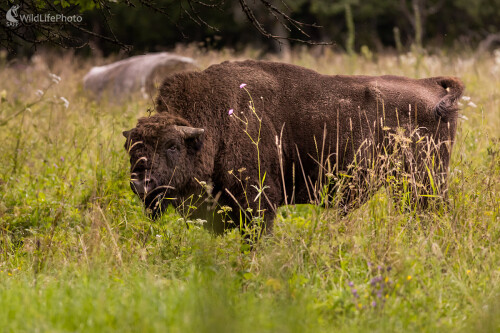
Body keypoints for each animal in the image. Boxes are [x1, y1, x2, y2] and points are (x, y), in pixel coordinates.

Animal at [122, 59, 464, 231]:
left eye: (172, 145)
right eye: (132, 148)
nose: (140, 183)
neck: (215, 122)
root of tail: (430, 85)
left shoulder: (260, 201)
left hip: (423, 183)